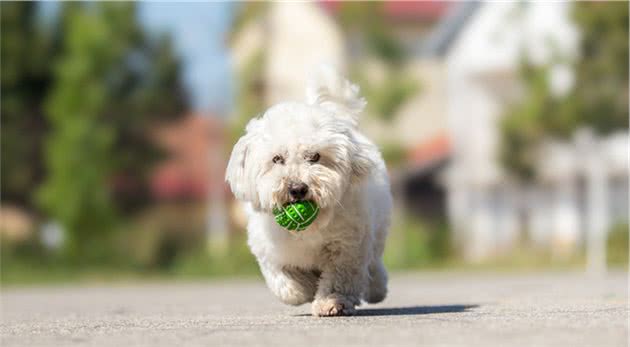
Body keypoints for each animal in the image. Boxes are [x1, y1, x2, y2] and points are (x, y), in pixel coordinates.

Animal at [227, 66, 392, 318]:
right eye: (277, 159)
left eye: (314, 156)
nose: (297, 188)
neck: (308, 231)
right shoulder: (269, 250)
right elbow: (287, 285)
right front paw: (304, 288)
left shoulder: (347, 246)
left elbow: (339, 277)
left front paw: (331, 302)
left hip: (376, 230)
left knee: (373, 263)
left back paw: (376, 289)